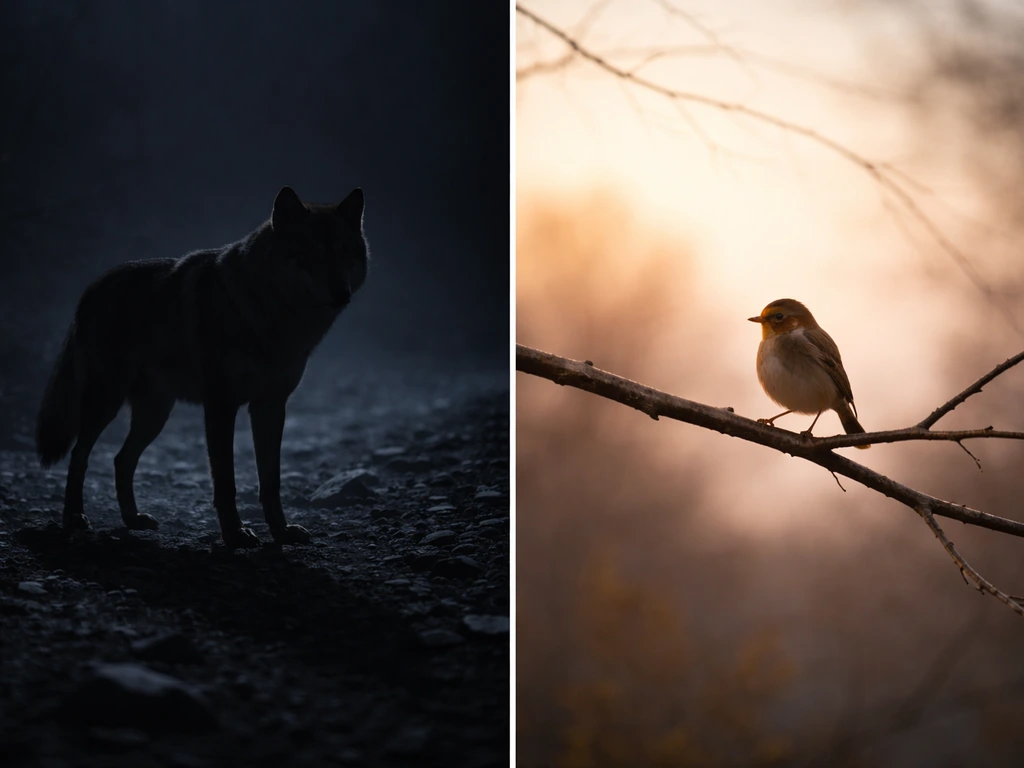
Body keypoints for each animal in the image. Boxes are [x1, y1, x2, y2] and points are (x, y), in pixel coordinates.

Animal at [35, 186, 369, 547]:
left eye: (346, 253)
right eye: (311, 253)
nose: (342, 294)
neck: (272, 317)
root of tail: (91, 287)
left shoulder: (270, 407)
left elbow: (271, 481)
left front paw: (281, 531)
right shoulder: (221, 406)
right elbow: (226, 482)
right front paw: (235, 534)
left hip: (155, 414)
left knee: (121, 459)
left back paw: (133, 519)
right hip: (106, 403)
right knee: (79, 456)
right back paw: (74, 518)